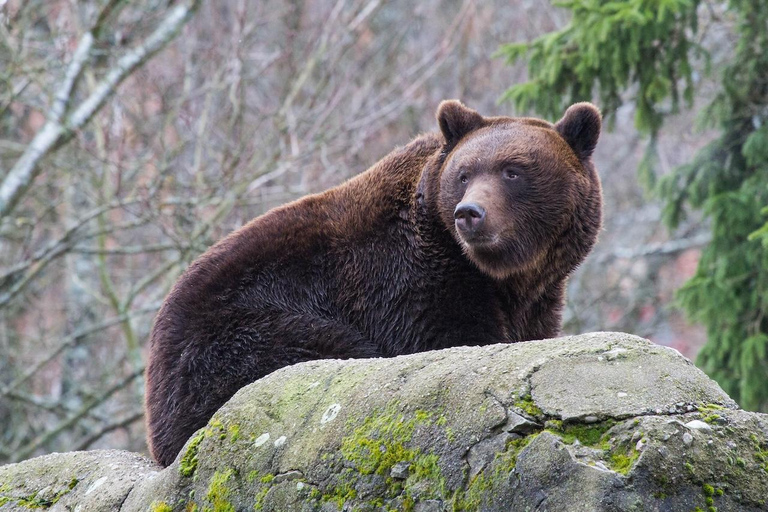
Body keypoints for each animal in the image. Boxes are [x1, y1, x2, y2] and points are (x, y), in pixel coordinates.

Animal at [142, 98, 600, 466]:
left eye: (512, 171)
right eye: (465, 174)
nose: (470, 213)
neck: (502, 275)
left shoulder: (538, 298)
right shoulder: (407, 282)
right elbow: (449, 338)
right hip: (233, 340)